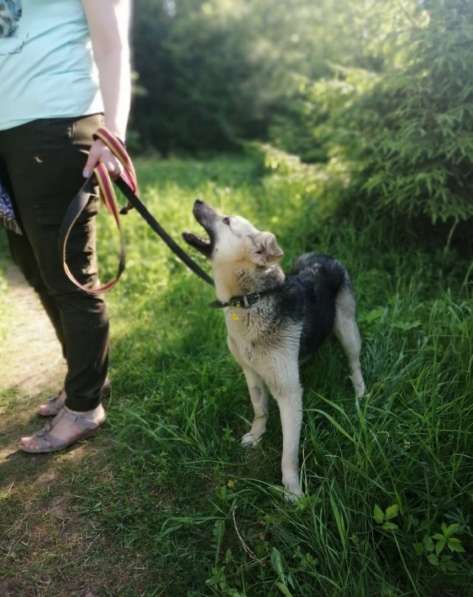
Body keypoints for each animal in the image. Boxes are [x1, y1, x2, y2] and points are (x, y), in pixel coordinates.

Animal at [182, 200, 366, 498]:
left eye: (226, 220)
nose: (197, 200)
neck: (250, 301)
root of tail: (322, 254)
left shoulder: (289, 394)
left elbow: (288, 452)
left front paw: (292, 490)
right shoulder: (251, 374)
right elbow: (260, 410)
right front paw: (256, 436)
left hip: (347, 329)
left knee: (354, 362)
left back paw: (360, 393)